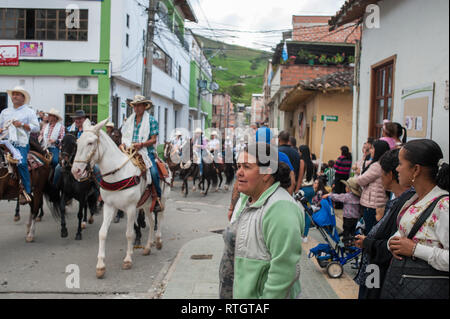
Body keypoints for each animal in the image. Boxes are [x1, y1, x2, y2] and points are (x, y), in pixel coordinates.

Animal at [72, 119, 171, 280]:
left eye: (91, 143)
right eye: (78, 142)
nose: (76, 171)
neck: (118, 174)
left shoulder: (130, 208)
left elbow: (129, 233)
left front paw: (128, 259)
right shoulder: (109, 206)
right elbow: (102, 233)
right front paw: (100, 266)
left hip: (162, 199)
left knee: (160, 218)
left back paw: (158, 240)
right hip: (145, 205)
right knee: (151, 221)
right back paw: (147, 247)